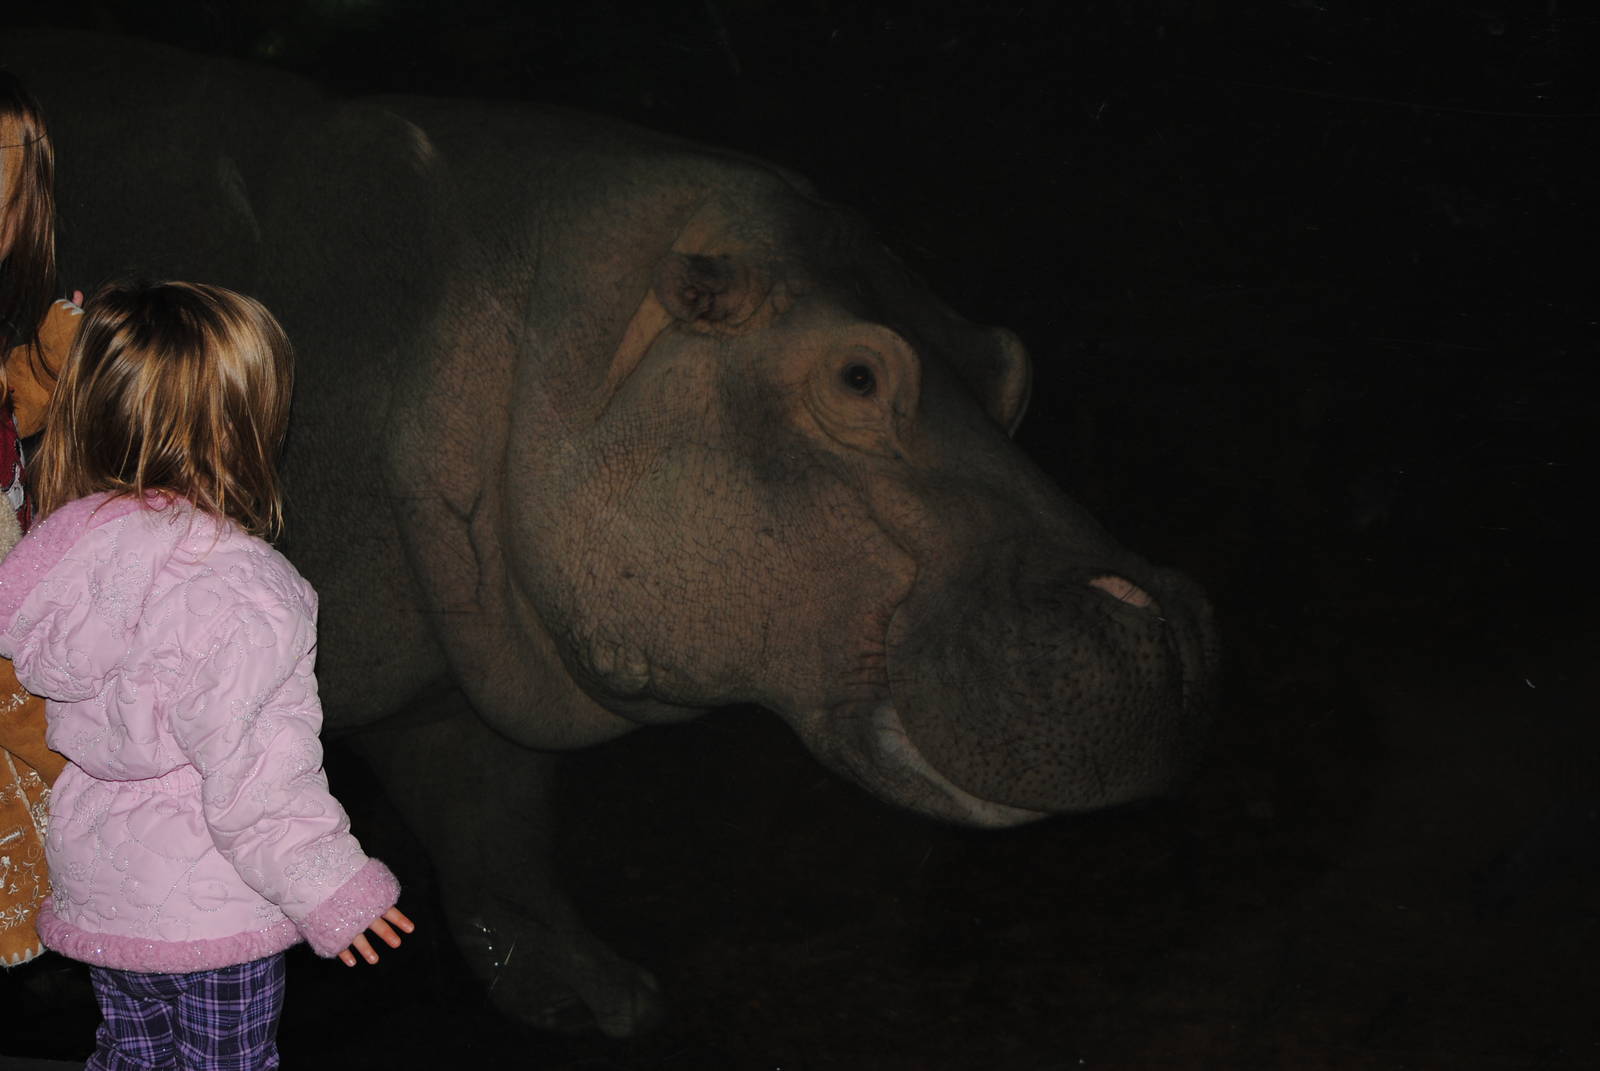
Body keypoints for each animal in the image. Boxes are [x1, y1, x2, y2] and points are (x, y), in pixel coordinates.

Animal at [5, 29, 1216, 1036]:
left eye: (1011, 366)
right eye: (859, 376)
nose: (1165, 623)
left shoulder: (463, 677)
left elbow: (497, 832)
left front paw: (603, 1002)